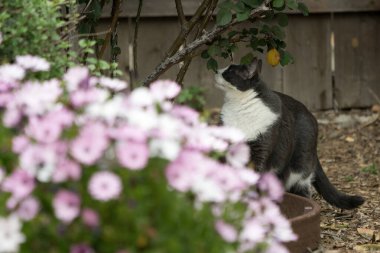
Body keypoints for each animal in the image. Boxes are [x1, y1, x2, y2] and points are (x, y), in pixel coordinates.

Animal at [215, 57, 364, 210]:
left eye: (229, 71)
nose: (217, 71)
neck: (238, 106)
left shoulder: (261, 150)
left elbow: (254, 176)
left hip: (299, 166)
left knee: (302, 189)